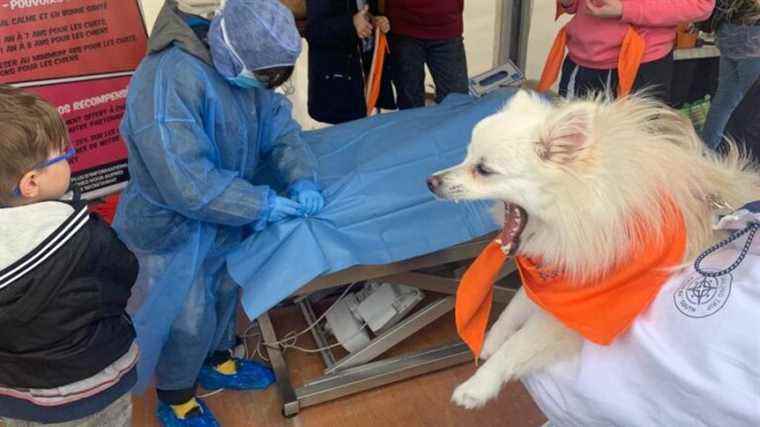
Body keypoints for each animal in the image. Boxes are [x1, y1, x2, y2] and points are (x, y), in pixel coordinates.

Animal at [424, 90, 760, 412]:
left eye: (483, 170)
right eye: (466, 156)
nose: (430, 181)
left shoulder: (576, 312)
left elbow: (517, 345)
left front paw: (478, 386)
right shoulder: (559, 278)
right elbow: (516, 306)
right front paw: (489, 340)